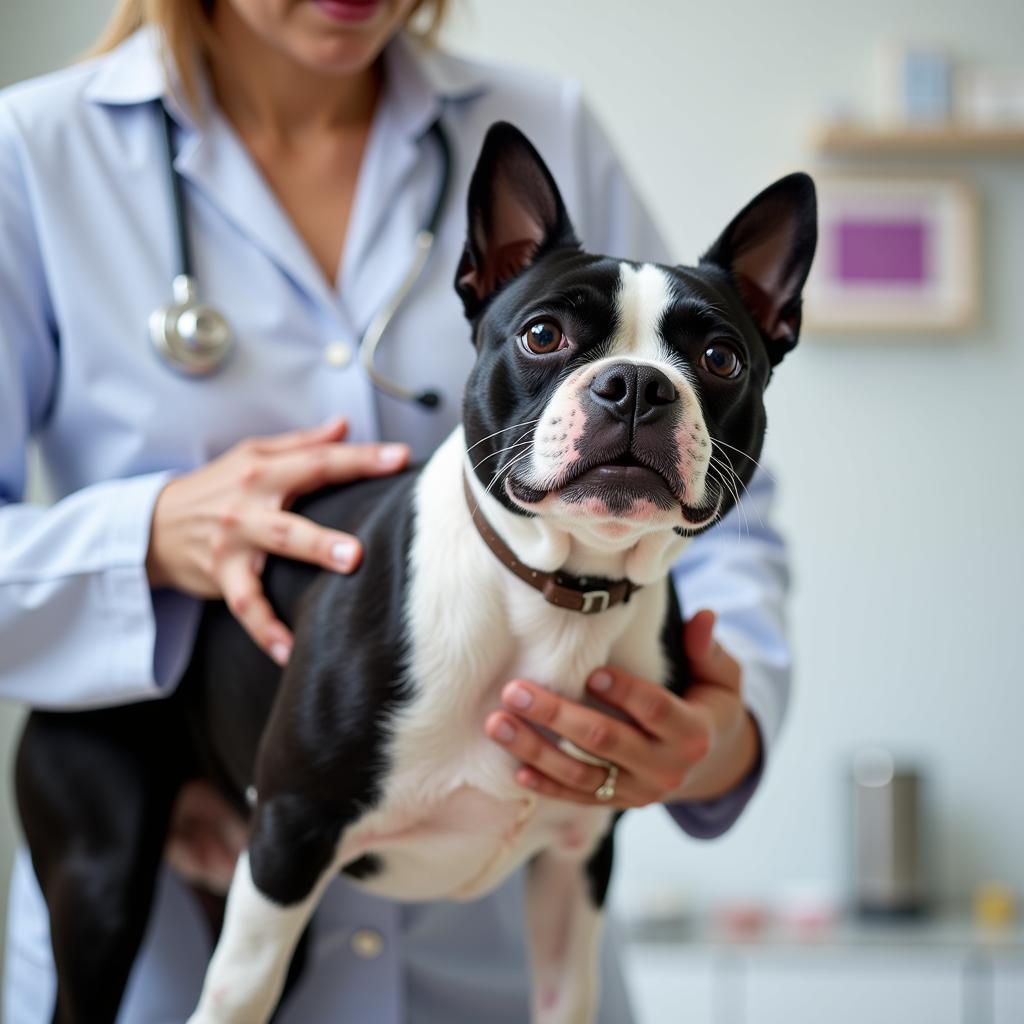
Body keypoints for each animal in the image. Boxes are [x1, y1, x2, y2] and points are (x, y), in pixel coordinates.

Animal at [16, 121, 815, 1024]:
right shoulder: (288, 836)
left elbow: (565, 997)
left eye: (720, 358)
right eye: (544, 336)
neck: (556, 594)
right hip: (106, 879)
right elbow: (234, 995)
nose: (638, 385)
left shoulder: (575, 869)